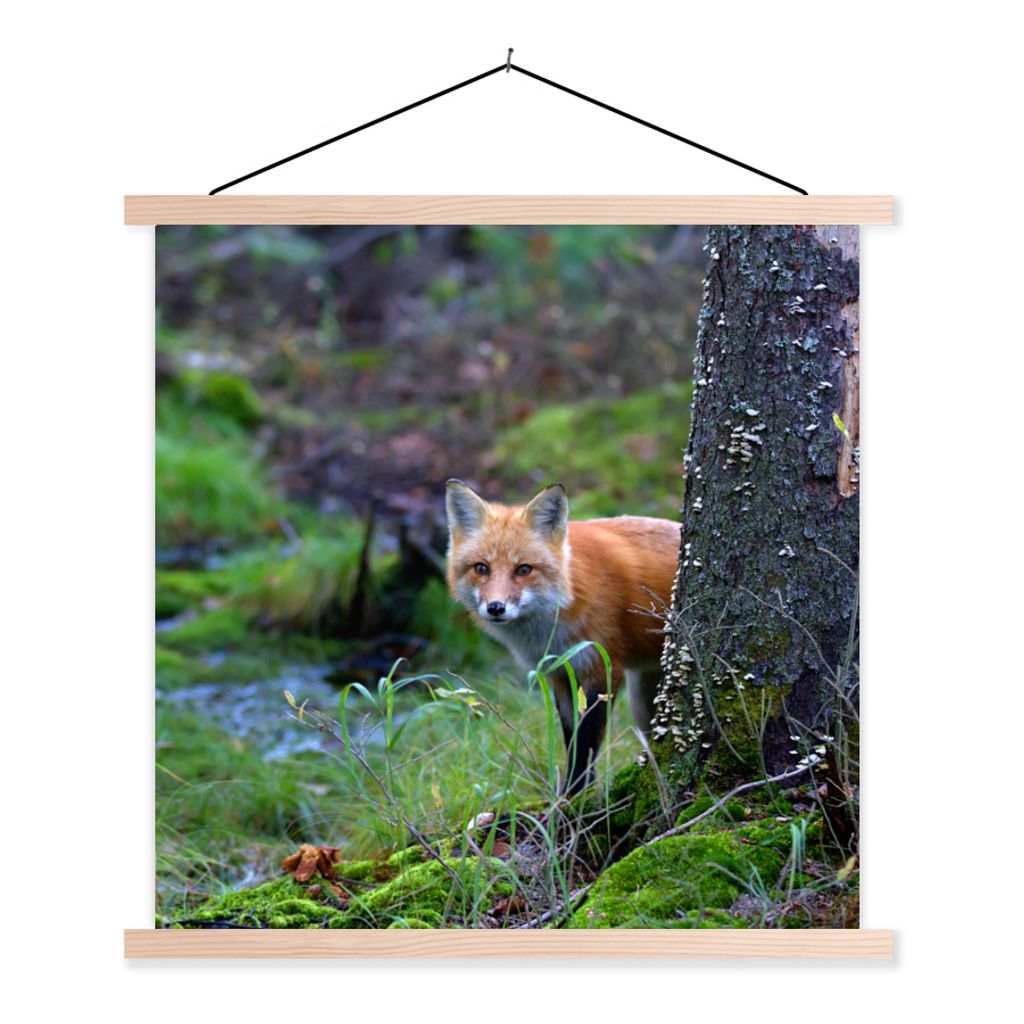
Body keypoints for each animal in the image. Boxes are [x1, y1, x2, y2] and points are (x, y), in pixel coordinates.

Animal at [444, 479, 680, 794]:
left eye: (523, 569)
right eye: (481, 568)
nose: (495, 608)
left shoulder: (601, 667)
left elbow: (587, 741)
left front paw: (578, 796)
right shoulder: (559, 671)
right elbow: (571, 737)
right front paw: (572, 793)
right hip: (643, 699)